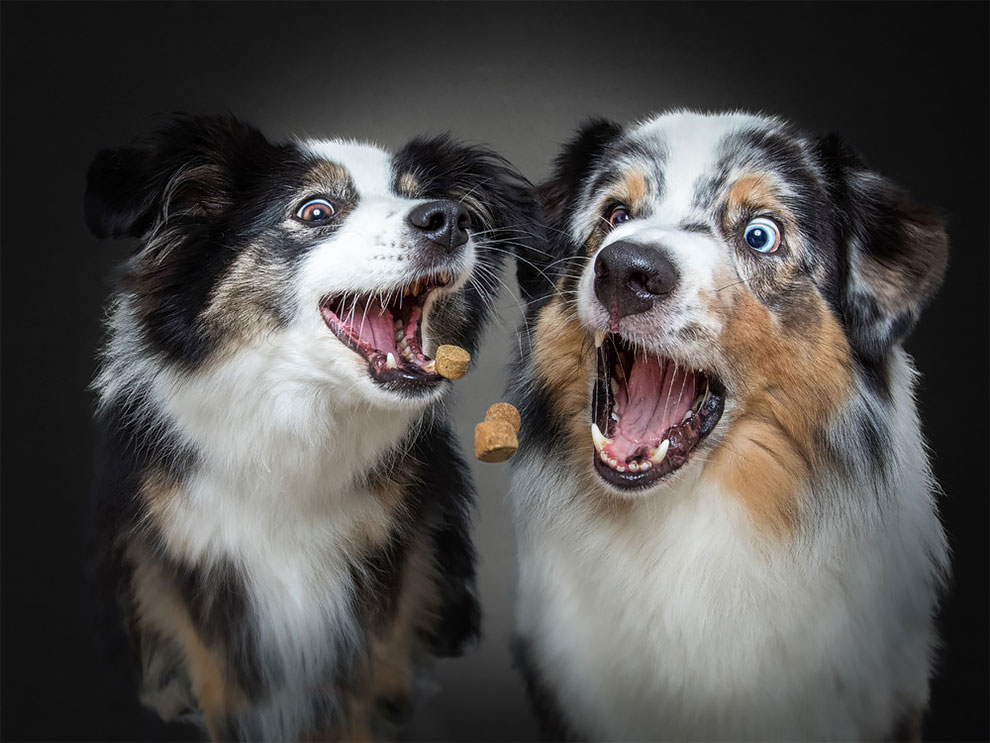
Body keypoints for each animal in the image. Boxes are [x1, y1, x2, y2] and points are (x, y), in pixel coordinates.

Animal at [85, 113, 544, 740]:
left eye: (429, 198)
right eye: (316, 210)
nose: (448, 219)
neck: (294, 420)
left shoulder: (380, 574)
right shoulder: (195, 569)